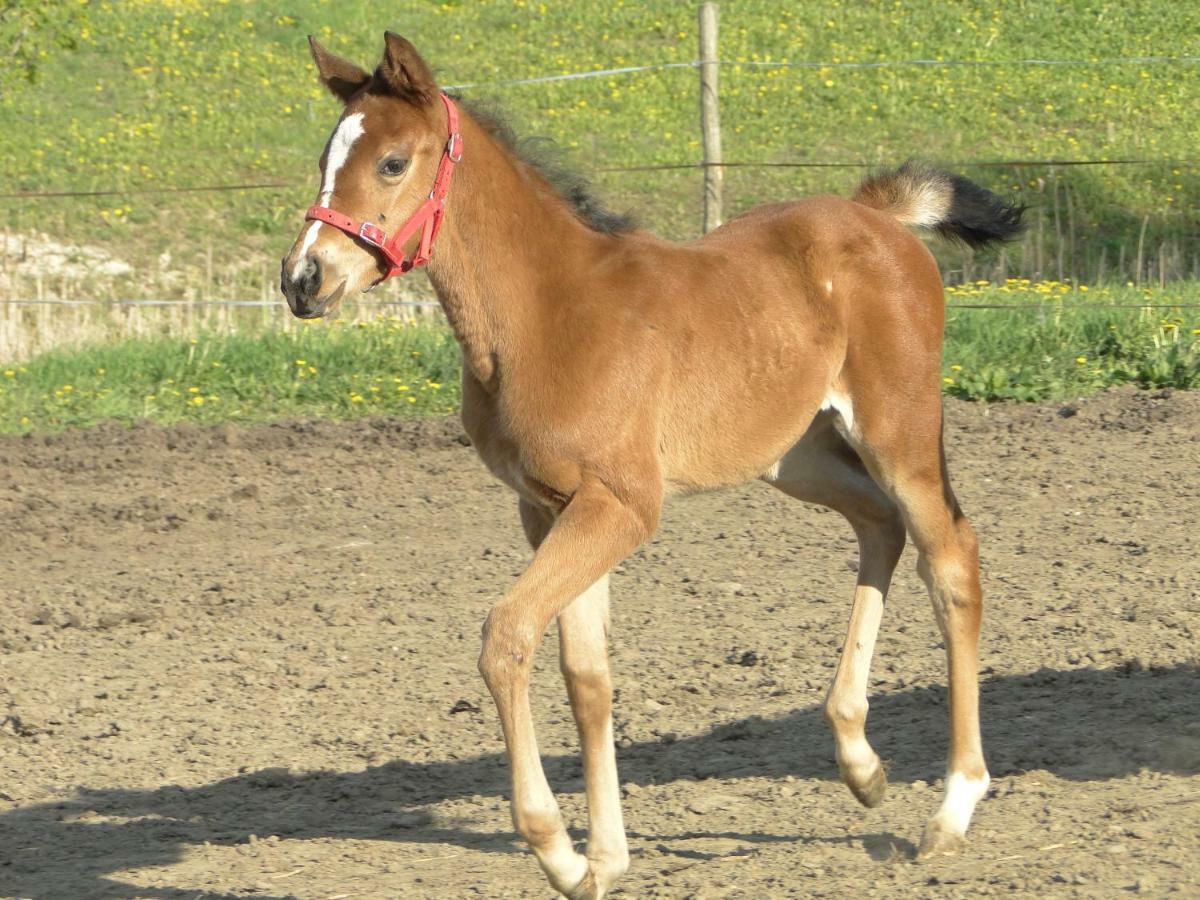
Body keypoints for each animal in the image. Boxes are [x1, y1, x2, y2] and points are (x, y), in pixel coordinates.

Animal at [278, 31, 1022, 897]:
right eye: (324, 158)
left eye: (394, 162)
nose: (303, 279)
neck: (544, 314)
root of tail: (876, 214)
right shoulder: (548, 508)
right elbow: (587, 675)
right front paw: (605, 857)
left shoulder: (623, 505)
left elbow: (508, 636)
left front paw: (558, 851)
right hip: (794, 454)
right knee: (879, 527)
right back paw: (859, 762)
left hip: (897, 431)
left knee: (951, 557)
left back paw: (952, 805)